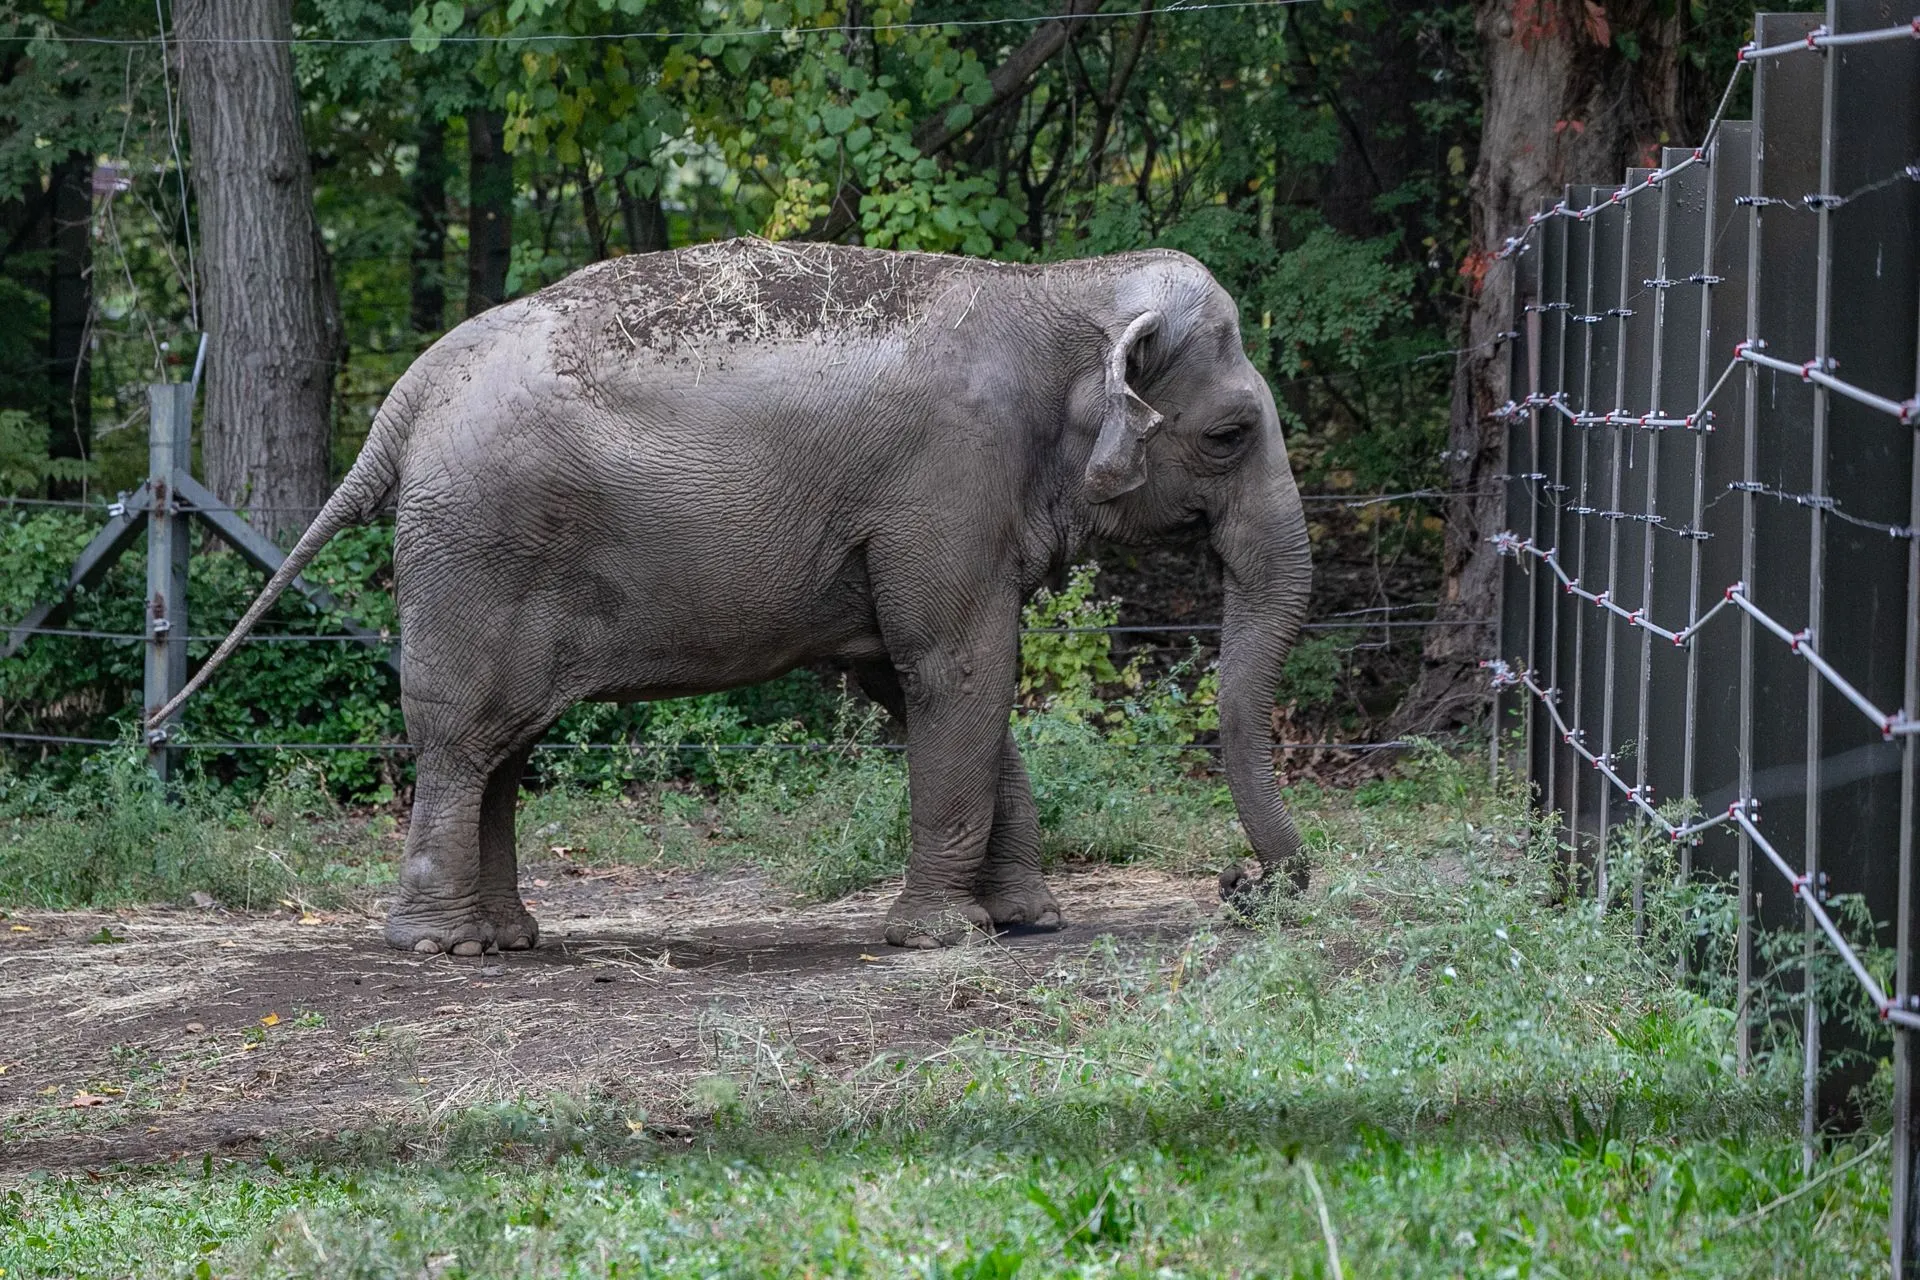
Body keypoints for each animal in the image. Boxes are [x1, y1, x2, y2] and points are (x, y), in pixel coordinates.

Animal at [157, 239, 1313, 955]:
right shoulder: (947, 483)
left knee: (504, 749)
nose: (1245, 886)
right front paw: (943, 936)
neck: (1056, 290)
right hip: (475, 552)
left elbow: (918, 683)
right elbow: (959, 667)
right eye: (1229, 434)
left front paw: (1026, 920)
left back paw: (511, 937)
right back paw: (444, 944)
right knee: (460, 739)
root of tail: (408, 396)